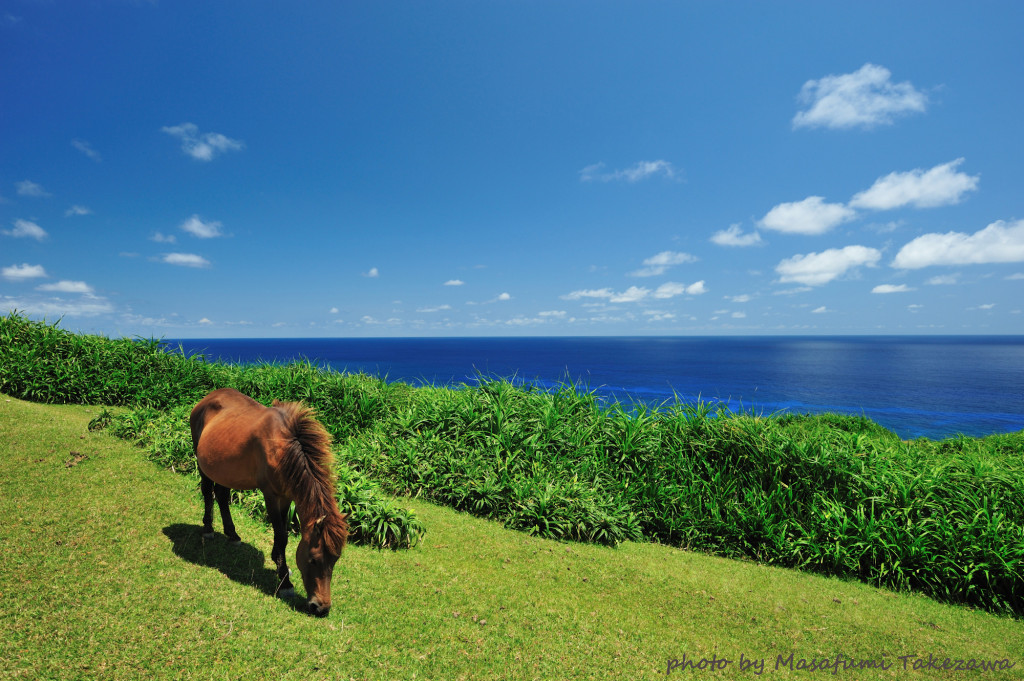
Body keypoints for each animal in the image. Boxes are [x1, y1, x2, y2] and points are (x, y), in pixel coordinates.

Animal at [190, 387, 350, 614]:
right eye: (313, 560)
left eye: (335, 560)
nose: (321, 607)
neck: (285, 447)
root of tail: (207, 398)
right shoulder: (271, 495)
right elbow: (281, 535)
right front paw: (285, 582)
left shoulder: (287, 496)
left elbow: (282, 533)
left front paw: (280, 565)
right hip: (202, 463)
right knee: (207, 492)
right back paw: (208, 529)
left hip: (224, 469)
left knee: (221, 495)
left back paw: (232, 534)